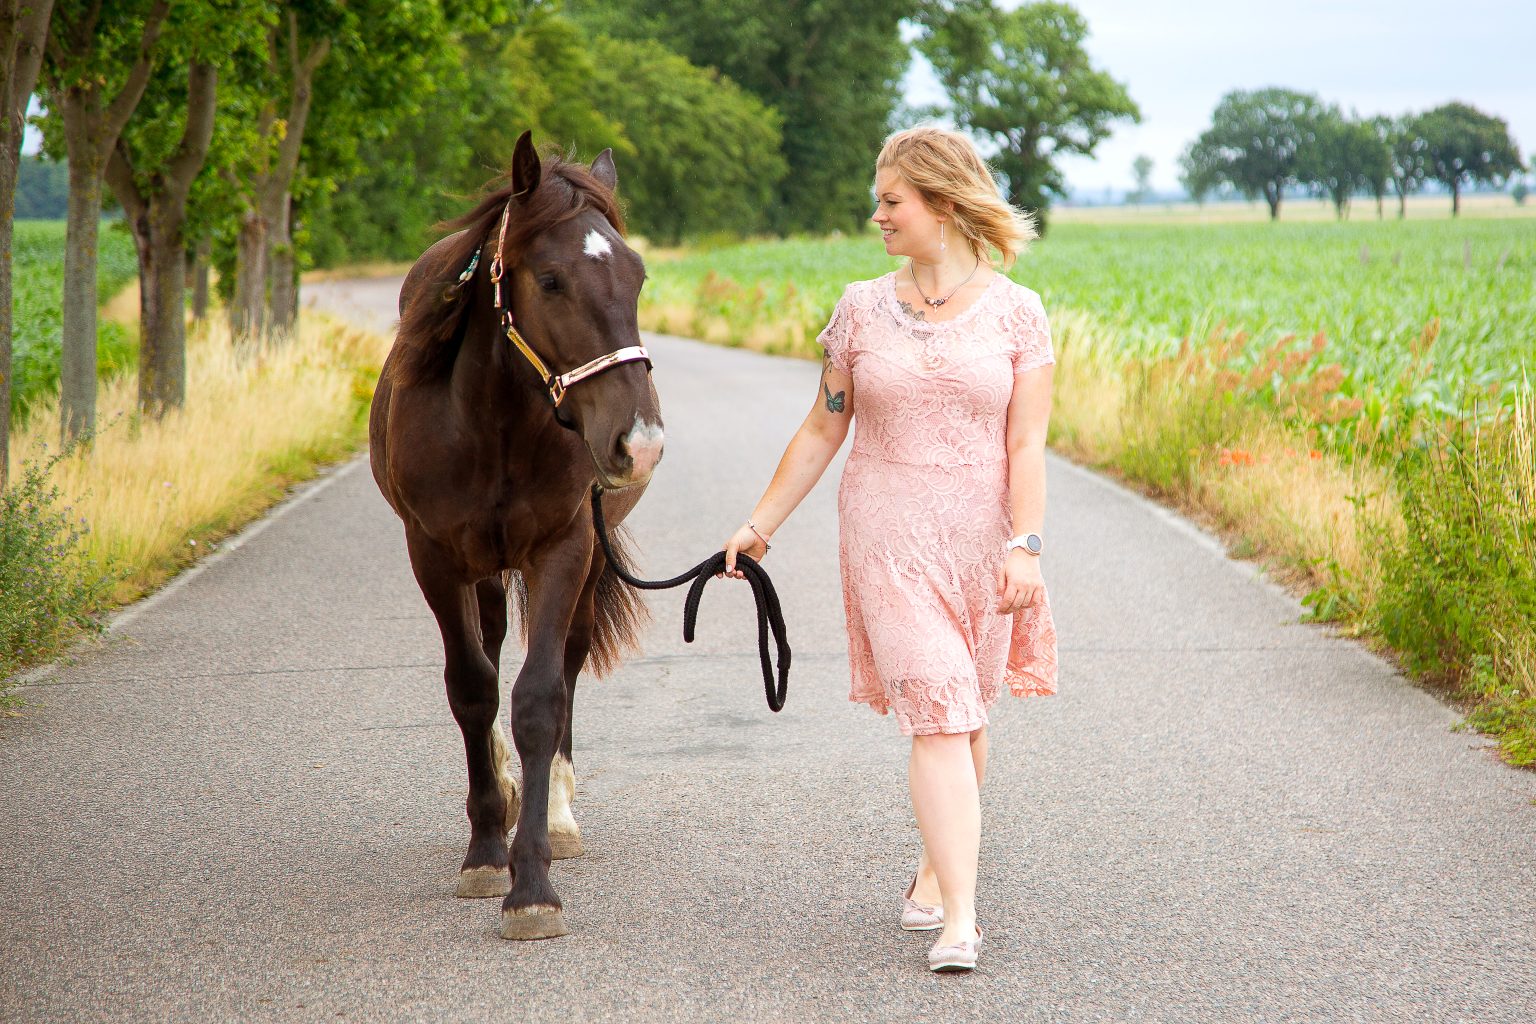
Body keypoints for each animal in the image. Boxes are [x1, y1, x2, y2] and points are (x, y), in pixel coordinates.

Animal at [369, 131, 663, 940]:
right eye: (552, 280)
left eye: (638, 277)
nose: (639, 443)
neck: (491, 420)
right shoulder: (434, 558)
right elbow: (472, 687)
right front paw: (485, 851)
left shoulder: (564, 549)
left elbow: (540, 698)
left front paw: (533, 883)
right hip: (485, 571)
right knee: (492, 647)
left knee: (567, 662)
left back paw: (555, 814)